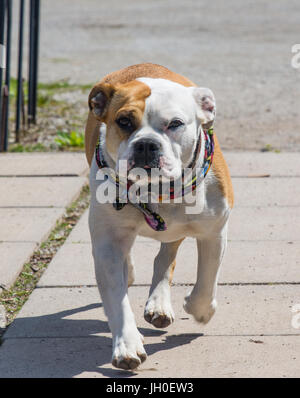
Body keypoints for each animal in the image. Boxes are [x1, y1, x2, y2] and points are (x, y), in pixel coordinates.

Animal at [85, 63, 234, 370]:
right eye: (123, 121)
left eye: (175, 124)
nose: (146, 145)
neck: (157, 190)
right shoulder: (107, 242)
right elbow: (117, 297)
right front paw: (127, 345)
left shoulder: (214, 232)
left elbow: (207, 279)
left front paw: (199, 309)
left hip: (178, 230)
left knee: (166, 255)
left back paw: (159, 303)